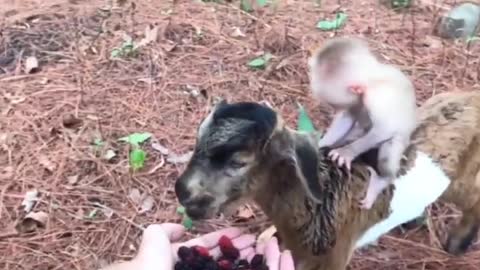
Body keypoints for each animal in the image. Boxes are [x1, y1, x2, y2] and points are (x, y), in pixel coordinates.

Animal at [174, 90, 480, 270]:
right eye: (197, 142)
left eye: (238, 162)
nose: (182, 191)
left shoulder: (333, 258)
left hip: (462, 180)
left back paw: (457, 243)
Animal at [308, 36, 416, 209]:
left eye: (334, 104)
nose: (335, 109)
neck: (372, 77)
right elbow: (347, 118)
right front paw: (321, 143)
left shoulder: (378, 97)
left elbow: (385, 128)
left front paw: (346, 152)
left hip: (399, 142)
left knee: (388, 150)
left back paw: (380, 181)